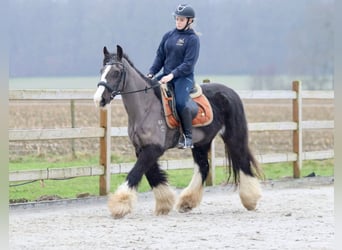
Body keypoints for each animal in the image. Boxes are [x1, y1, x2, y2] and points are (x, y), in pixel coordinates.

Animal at [93, 45, 262, 219]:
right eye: (102, 70)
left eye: (116, 72)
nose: (99, 99)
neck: (146, 108)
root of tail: (230, 92)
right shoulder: (141, 148)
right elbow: (153, 175)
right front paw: (164, 203)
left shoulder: (154, 149)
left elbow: (136, 172)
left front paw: (120, 204)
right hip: (201, 143)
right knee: (204, 167)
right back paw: (187, 202)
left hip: (233, 136)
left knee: (243, 161)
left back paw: (250, 199)